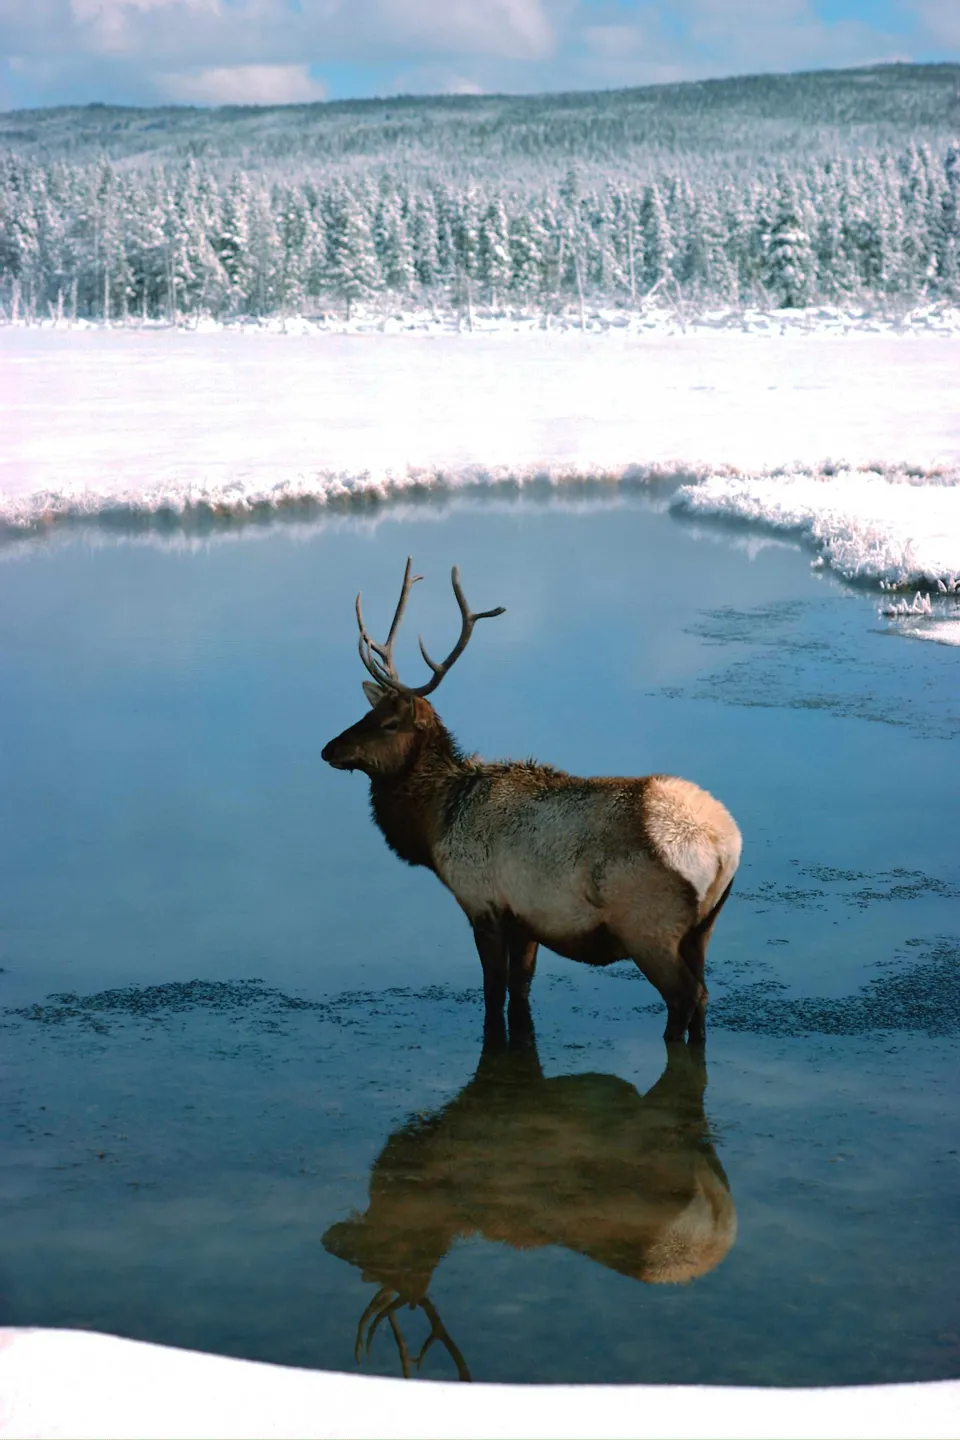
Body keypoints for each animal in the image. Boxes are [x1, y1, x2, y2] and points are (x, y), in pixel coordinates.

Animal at [321, 559, 742, 1044]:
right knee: (705, 997)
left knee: (684, 998)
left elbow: (494, 993)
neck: (435, 823)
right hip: (703, 928)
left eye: (389, 723)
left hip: (648, 925)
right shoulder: (528, 920)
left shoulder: (482, 903)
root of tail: (724, 846)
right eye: (368, 712)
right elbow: (520, 993)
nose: (329, 749)